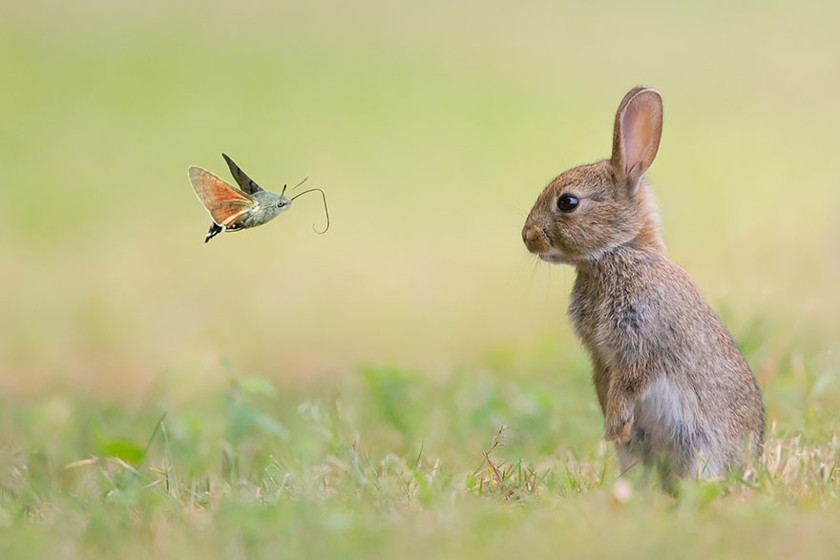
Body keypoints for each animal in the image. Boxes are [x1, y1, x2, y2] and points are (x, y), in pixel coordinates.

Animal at [520, 85, 764, 480]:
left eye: (568, 202)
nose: (528, 237)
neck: (617, 253)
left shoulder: (642, 341)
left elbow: (631, 380)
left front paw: (613, 425)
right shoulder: (600, 354)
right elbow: (603, 380)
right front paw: (610, 423)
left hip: (700, 448)